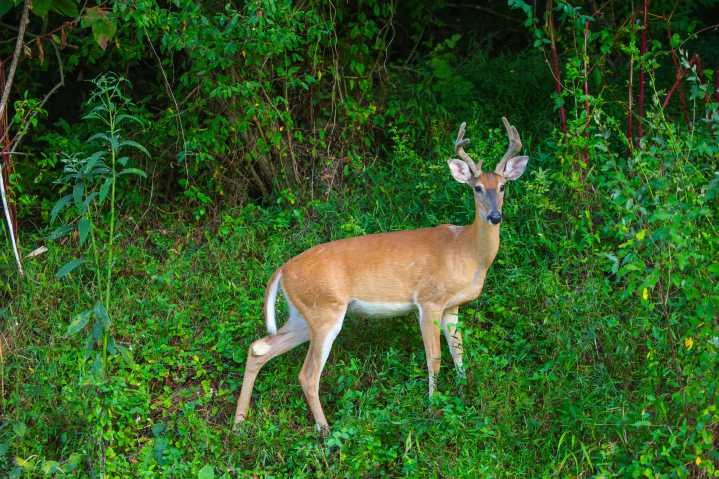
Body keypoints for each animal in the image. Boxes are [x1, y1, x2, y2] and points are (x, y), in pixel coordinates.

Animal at [234, 118, 528, 433]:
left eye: (503, 186)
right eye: (477, 188)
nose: (495, 217)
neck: (466, 251)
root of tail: (282, 269)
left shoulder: (453, 306)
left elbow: (459, 354)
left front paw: (463, 393)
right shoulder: (429, 301)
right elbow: (434, 358)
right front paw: (432, 408)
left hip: (302, 315)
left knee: (258, 348)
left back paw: (239, 423)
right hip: (325, 310)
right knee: (307, 374)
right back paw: (325, 430)